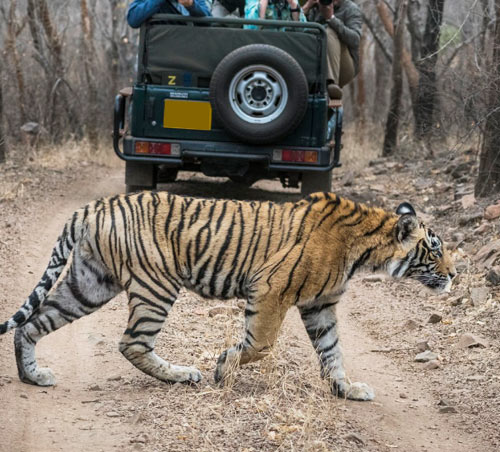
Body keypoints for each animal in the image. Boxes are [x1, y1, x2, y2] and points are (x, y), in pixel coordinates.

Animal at [0, 191, 454, 400]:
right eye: (436, 250)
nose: (454, 275)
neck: (365, 250)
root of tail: (92, 207)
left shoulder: (320, 305)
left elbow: (332, 352)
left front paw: (347, 390)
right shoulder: (272, 289)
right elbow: (260, 344)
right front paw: (223, 368)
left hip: (89, 284)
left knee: (32, 325)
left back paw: (33, 376)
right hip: (155, 285)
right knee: (132, 342)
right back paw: (184, 374)